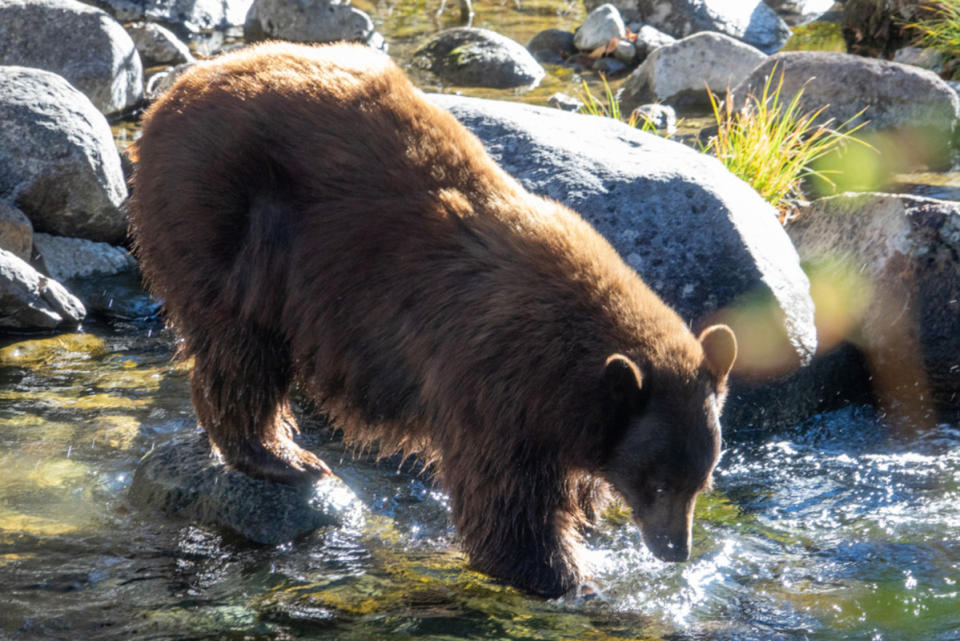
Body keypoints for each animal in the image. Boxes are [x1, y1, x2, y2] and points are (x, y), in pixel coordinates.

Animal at [127, 42, 740, 596]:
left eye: (701, 481)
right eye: (656, 482)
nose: (675, 551)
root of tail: (172, 95)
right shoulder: (492, 382)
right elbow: (505, 497)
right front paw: (562, 575)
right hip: (226, 221)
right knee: (239, 349)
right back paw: (284, 458)